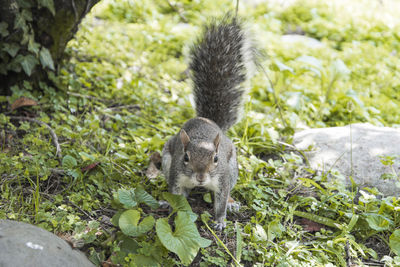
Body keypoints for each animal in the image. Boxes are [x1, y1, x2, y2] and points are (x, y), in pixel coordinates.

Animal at [161, 14, 258, 230]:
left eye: (215, 158)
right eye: (186, 157)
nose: (200, 176)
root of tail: (209, 121)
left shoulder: (222, 179)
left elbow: (220, 201)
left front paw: (220, 221)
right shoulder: (176, 176)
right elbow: (177, 197)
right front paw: (173, 210)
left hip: (232, 169)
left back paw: (231, 203)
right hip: (166, 161)